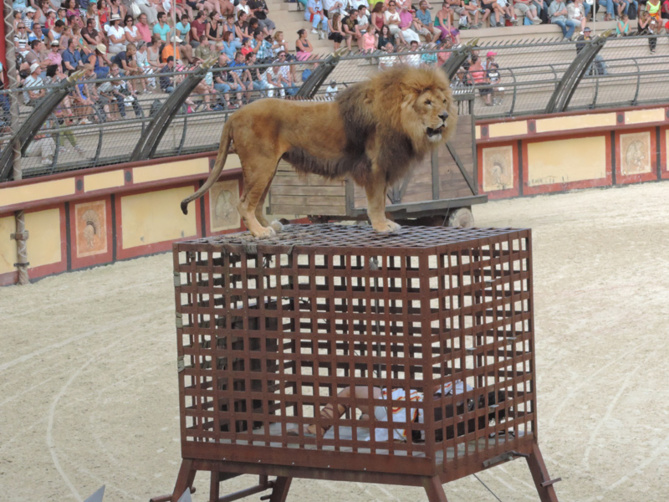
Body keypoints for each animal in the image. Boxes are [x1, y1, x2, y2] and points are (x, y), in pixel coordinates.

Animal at [180, 65, 457, 238]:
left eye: (443, 101)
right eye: (427, 102)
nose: (444, 116)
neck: (403, 120)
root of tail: (235, 115)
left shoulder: (384, 168)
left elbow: (381, 200)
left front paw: (386, 223)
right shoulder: (375, 167)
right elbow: (376, 202)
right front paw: (381, 226)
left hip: (267, 168)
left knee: (256, 203)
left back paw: (269, 226)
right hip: (260, 165)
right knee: (244, 203)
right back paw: (259, 233)